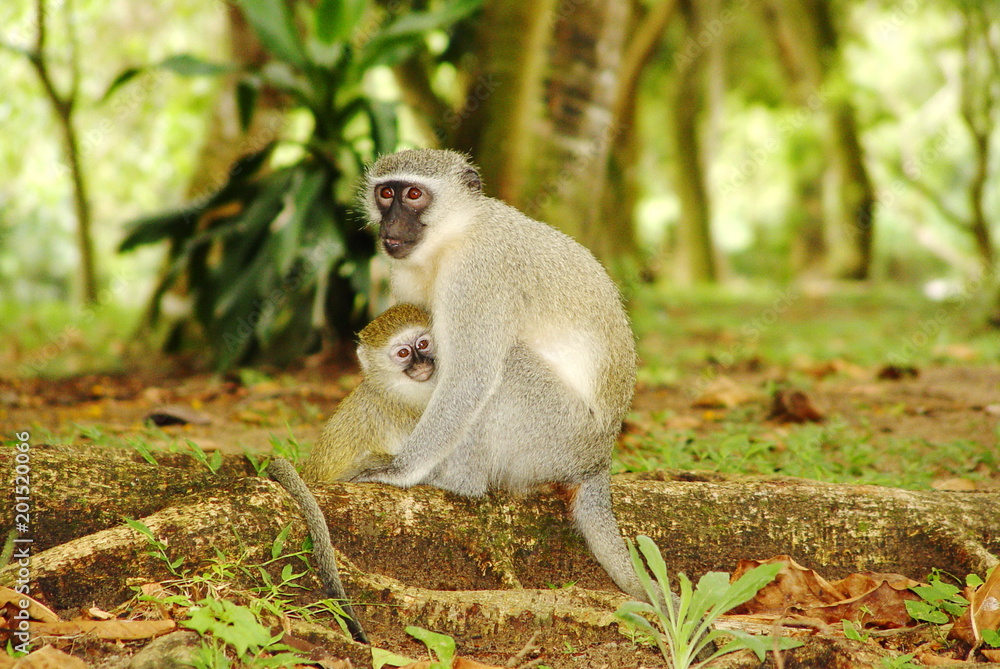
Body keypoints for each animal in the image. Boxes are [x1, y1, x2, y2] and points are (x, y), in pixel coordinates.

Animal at [352, 148, 647, 603]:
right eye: (386, 193)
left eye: (414, 194)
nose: (392, 223)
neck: (454, 235)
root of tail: (600, 460)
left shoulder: (478, 274)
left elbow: (470, 376)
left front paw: (400, 470)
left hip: (558, 435)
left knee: (503, 370)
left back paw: (459, 483)